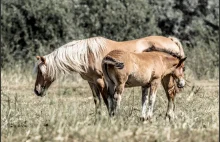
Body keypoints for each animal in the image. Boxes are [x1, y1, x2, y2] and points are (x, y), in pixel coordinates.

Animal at [33, 35, 185, 118]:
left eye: (40, 71)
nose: (37, 90)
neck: (87, 54)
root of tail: (171, 40)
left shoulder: (101, 81)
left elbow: (107, 100)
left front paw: (110, 115)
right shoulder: (92, 82)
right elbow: (97, 101)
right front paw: (98, 118)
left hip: (166, 78)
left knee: (171, 94)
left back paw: (169, 116)